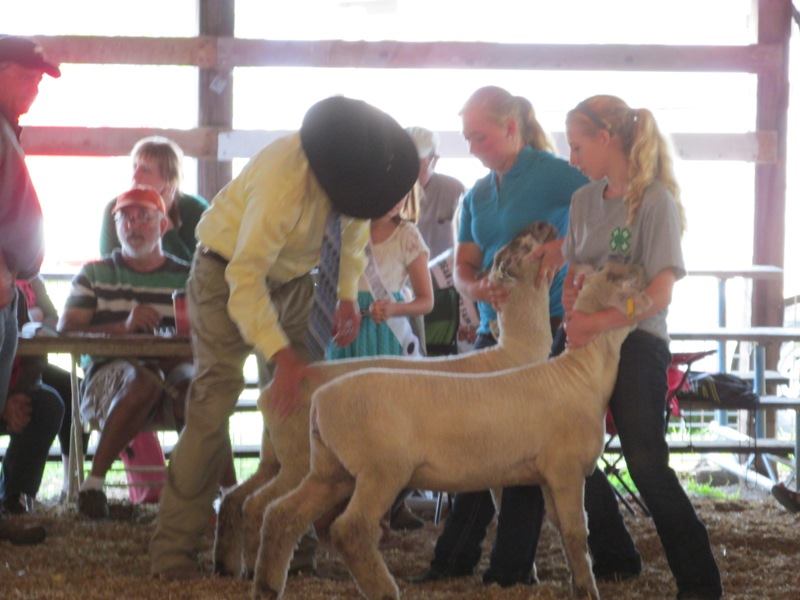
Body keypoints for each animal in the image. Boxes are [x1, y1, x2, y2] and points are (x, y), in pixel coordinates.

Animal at [213, 221, 559, 577]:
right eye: (520, 246)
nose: (544, 225)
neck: (514, 353)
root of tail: (267, 396)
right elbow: (505, 509)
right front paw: (528, 573)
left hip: (275, 458)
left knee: (237, 499)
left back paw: (230, 564)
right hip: (299, 460)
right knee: (258, 505)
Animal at [255, 262, 649, 600]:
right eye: (615, 276)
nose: (647, 277)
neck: (581, 375)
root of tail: (320, 400)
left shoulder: (547, 475)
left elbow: (562, 532)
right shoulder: (566, 470)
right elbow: (576, 532)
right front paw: (588, 589)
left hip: (330, 470)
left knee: (280, 514)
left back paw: (266, 585)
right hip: (380, 470)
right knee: (349, 529)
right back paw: (384, 589)